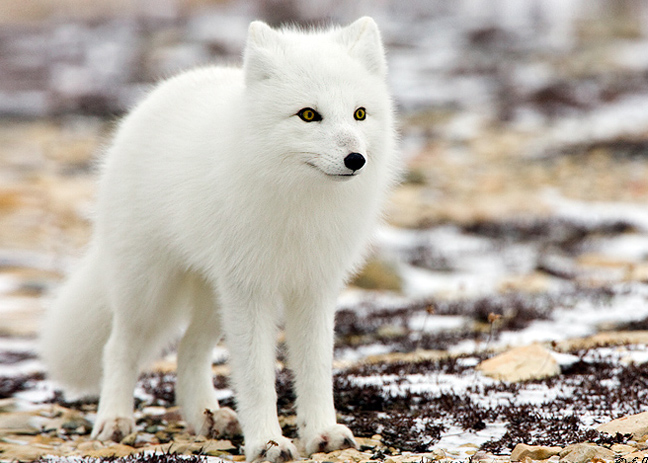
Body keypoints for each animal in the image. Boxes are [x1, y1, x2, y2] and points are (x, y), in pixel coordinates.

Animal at [40, 16, 400, 462]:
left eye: (360, 113)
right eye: (309, 115)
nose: (356, 159)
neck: (300, 207)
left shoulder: (315, 288)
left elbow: (316, 369)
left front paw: (321, 433)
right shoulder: (249, 291)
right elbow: (256, 377)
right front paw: (267, 442)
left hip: (213, 295)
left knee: (188, 349)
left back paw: (206, 418)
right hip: (149, 288)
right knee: (119, 346)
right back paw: (115, 420)